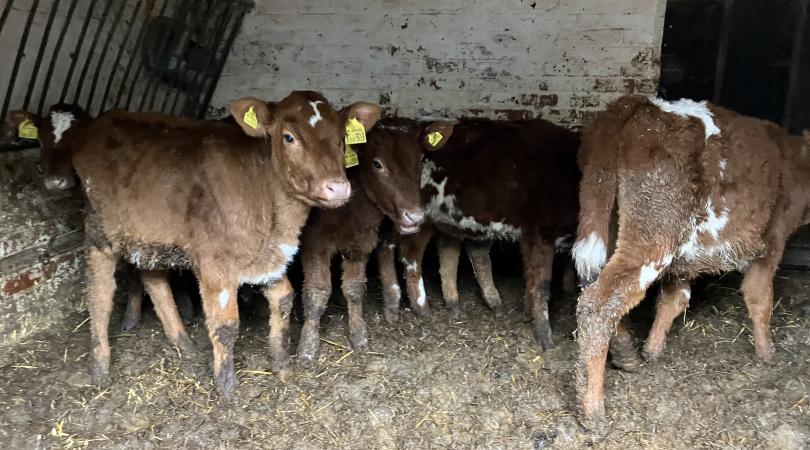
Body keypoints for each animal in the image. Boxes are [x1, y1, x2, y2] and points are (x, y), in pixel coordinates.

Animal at [70, 91, 380, 398]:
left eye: (342, 138)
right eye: (289, 137)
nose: (338, 188)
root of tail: (107, 119)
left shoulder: (270, 258)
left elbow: (283, 300)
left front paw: (281, 367)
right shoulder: (214, 265)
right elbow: (225, 326)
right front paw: (226, 387)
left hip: (149, 237)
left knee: (155, 283)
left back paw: (185, 347)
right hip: (100, 231)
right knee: (99, 293)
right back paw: (100, 367)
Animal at [296, 118, 455, 365]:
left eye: (420, 160)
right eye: (377, 164)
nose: (415, 216)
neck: (350, 211)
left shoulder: (360, 242)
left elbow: (354, 288)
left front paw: (358, 333)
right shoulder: (315, 242)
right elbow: (317, 292)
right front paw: (308, 345)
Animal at [384, 118, 582, 350]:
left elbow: (530, 275)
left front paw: (528, 310)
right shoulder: (540, 232)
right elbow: (542, 285)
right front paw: (544, 336)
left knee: (456, 250)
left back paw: (464, 302)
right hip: (420, 219)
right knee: (410, 251)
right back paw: (418, 305)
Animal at [573, 95, 810, 427]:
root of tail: (638, 103)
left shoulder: (685, 261)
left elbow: (674, 299)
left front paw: (652, 350)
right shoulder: (772, 241)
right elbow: (760, 296)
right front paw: (767, 352)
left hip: (606, 220)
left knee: (595, 286)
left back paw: (626, 354)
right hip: (653, 234)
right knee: (599, 303)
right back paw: (592, 410)